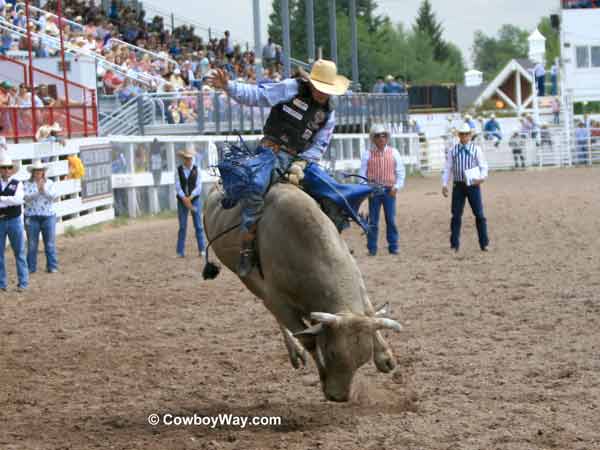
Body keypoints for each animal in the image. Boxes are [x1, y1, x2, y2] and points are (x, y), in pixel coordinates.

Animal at [203, 185, 404, 402]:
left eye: (361, 360)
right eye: (331, 353)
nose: (339, 397)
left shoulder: (358, 281)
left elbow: (369, 312)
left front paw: (385, 357)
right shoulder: (277, 300)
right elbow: (307, 339)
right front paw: (323, 377)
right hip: (249, 280)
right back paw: (295, 353)